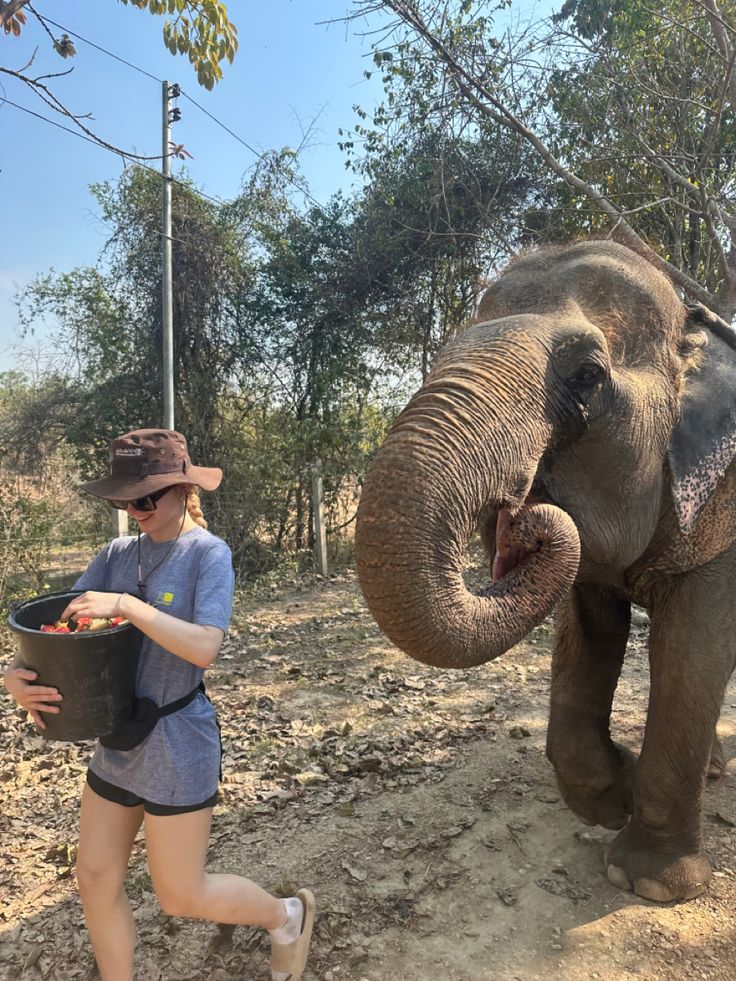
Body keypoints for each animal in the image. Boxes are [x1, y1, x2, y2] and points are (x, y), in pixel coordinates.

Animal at [356, 239, 736, 904]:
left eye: (588, 374)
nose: (522, 513)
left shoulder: (723, 507)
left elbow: (693, 649)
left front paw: (650, 883)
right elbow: (587, 634)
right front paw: (612, 797)